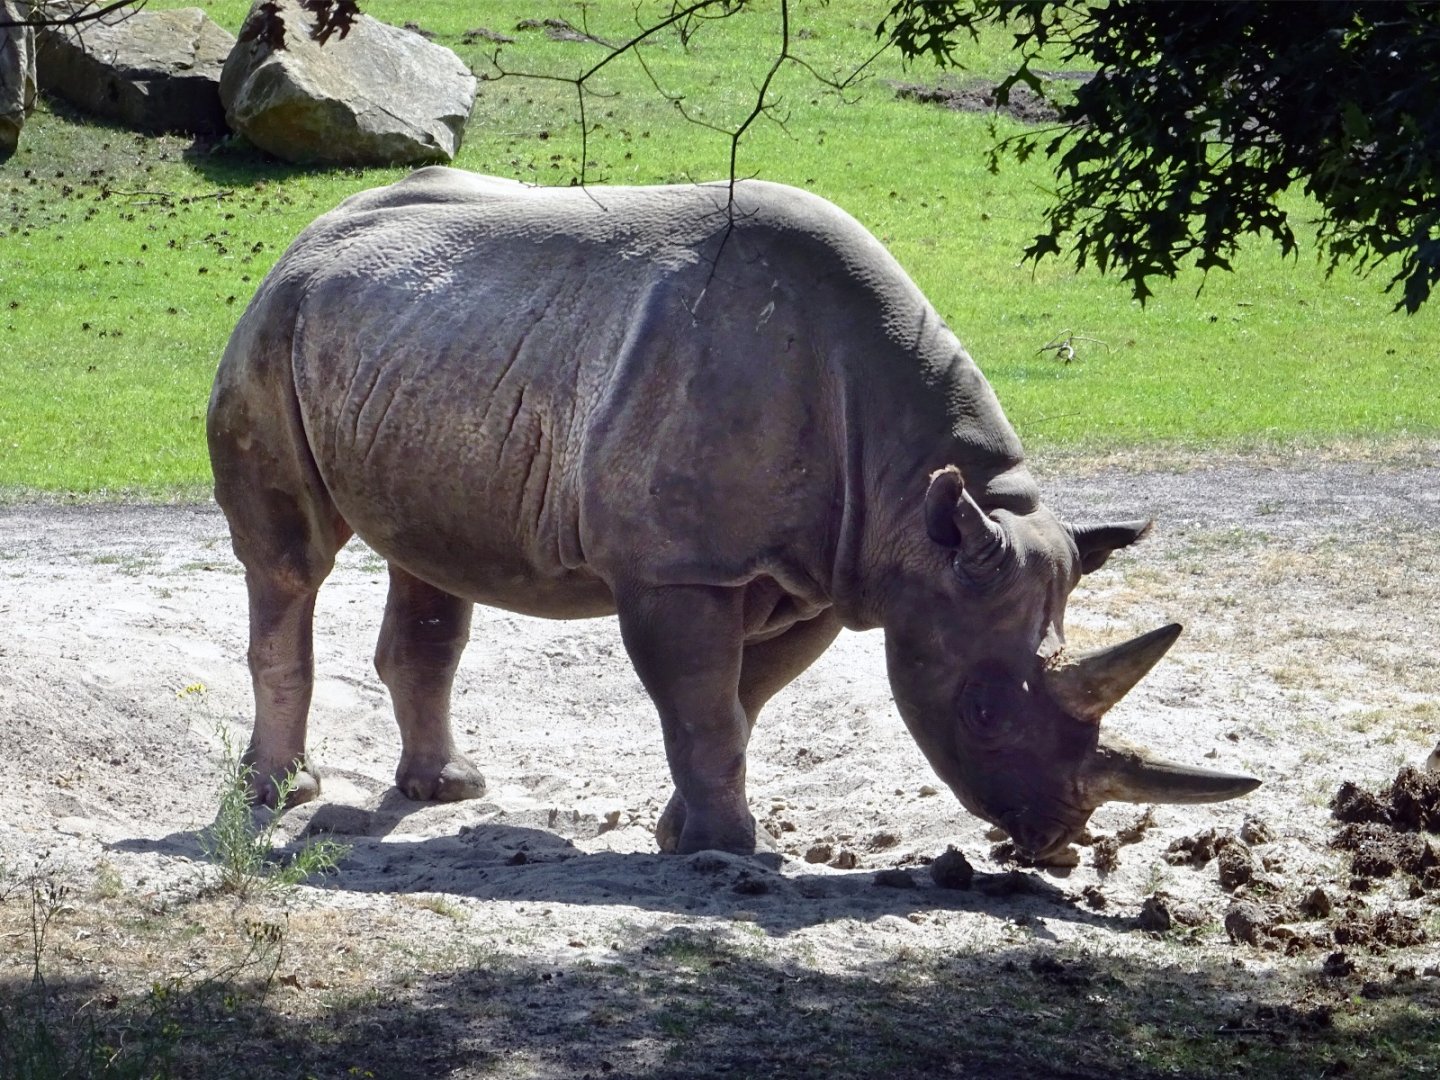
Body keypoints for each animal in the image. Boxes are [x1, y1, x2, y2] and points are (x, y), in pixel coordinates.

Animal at [207, 166, 1259, 860]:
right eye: (985, 713)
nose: (1057, 840)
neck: (917, 506)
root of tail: (308, 232)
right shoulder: (681, 567)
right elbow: (702, 703)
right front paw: (728, 851)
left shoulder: (834, 575)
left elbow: (739, 701)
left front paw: (686, 836)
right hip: (270, 329)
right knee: (291, 564)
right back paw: (276, 793)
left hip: (422, 343)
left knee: (429, 561)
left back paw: (445, 791)